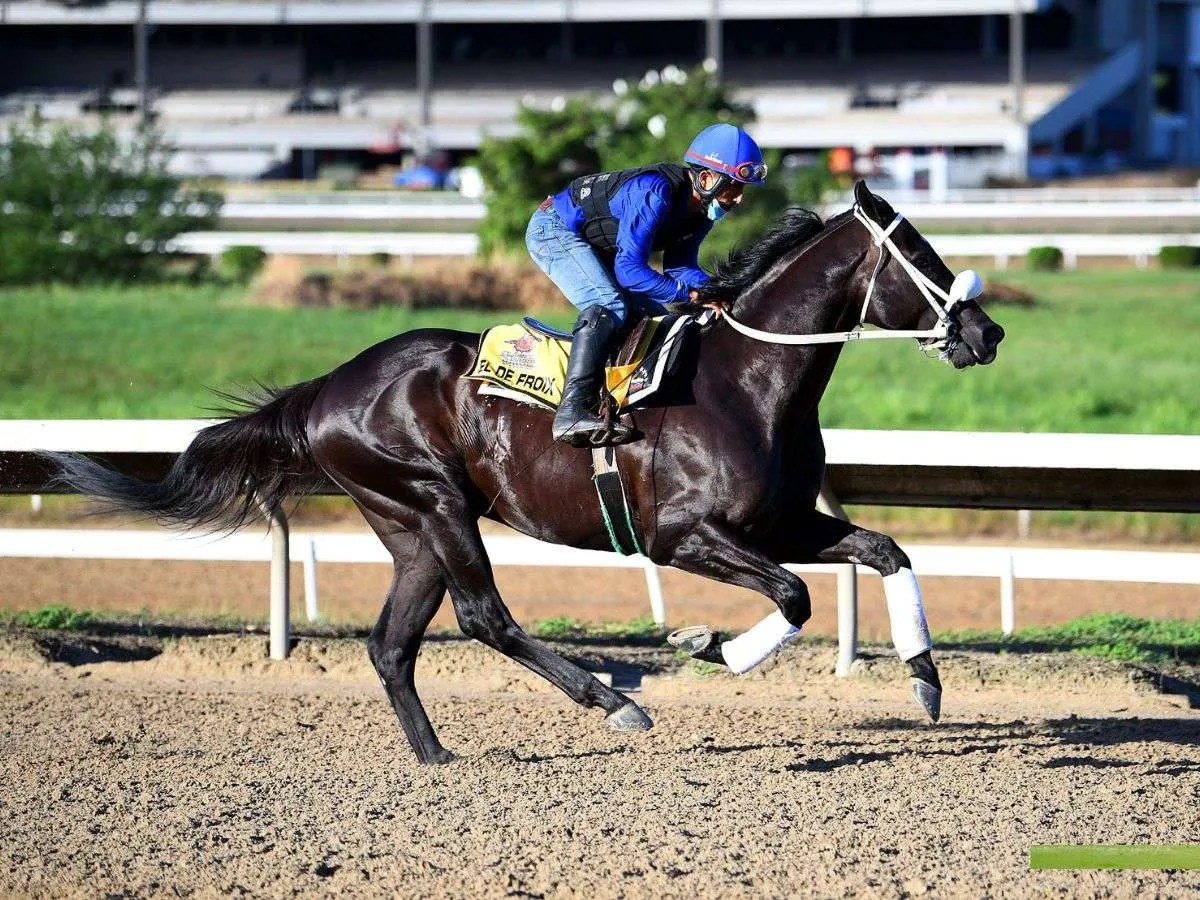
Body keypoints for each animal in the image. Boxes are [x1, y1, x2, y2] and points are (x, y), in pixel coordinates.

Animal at [49, 183, 1003, 768]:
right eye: (921, 254)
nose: (986, 332)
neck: (747, 381)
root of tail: (328, 387)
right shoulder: (683, 536)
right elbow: (795, 597)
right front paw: (710, 646)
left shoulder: (782, 522)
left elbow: (884, 551)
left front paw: (925, 681)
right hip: (434, 500)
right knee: (484, 618)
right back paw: (613, 702)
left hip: (410, 526)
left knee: (392, 644)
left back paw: (437, 754)